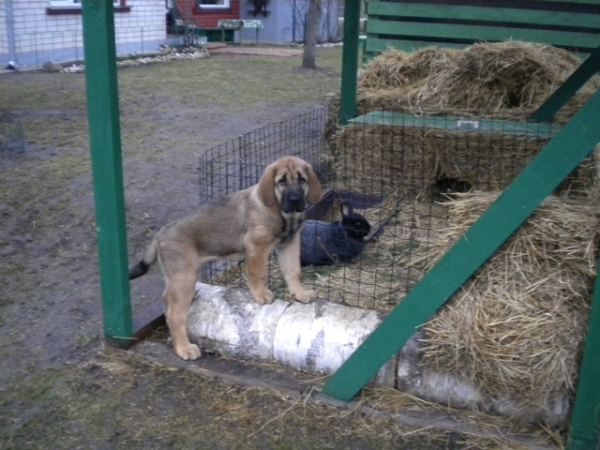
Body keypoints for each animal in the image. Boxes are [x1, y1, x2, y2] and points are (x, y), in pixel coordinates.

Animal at [129, 156, 322, 360]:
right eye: (281, 181)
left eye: (302, 180)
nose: (295, 199)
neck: (283, 214)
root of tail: (160, 234)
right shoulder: (256, 246)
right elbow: (257, 274)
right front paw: (260, 295)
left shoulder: (289, 244)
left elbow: (293, 271)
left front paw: (300, 294)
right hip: (184, 277)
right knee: (175, 314)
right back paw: (184, 348)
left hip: (177, 278)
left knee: (168, 302)